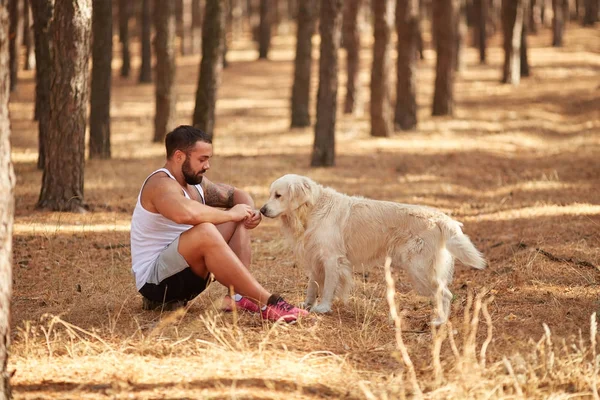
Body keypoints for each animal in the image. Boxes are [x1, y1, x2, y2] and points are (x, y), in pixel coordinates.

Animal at [260, 174, 486, 324]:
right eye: (270, 194)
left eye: (278, 195)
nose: (262, 210)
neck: (313, 209)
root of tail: (442, 218)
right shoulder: (316, 258)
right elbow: (312, 286)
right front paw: (306, 305)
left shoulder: (332, 258)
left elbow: (328, 287)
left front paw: (323, 307)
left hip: (419, 269)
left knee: (445, 294)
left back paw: (439, 322)